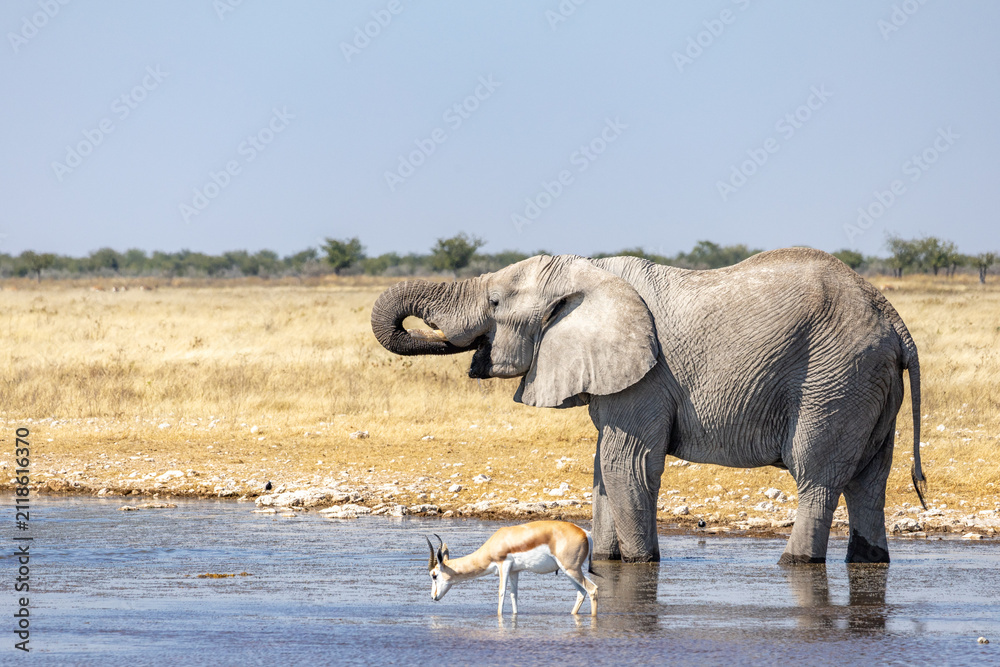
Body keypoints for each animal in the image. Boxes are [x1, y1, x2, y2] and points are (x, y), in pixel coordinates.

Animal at [370, 248, 926, 564]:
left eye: (494, 304)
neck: (588, 274)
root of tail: (895, 322)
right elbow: (602, 467)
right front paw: (605, 562)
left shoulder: (649, 378)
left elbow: (627, 464)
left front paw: (641, 564)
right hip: (868, 387)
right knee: (869, 482)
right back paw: (869, 562)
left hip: (835, 380)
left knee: (817, 476)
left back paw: (794, 563)